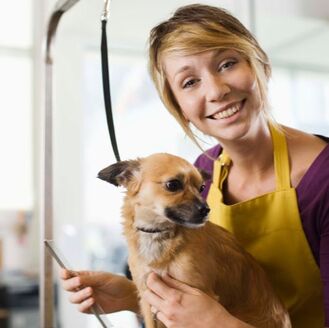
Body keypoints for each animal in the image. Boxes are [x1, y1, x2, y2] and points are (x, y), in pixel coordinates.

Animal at [97, 154, 290, 328]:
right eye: (173, 185)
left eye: (201, 187)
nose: (206, 210)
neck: (158, 234)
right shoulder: (146, 299)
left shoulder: (198, 294)